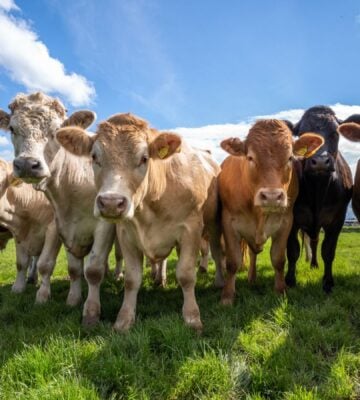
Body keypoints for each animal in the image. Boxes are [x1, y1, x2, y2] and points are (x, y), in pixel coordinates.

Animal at [0, 159, 60, 294]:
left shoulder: (53, 229)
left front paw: (43, 293)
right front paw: (18, 287)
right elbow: (21, 263)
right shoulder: (19, 232)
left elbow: (45, 264)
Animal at [55, 111, 225, 332]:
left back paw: (219, 281)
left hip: (214, 225)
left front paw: (192, 318)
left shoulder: (191, 230)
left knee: (217, 253)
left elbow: (186, 275)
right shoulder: (126, 235)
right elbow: (131, 279)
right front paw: (124, 320)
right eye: (94, 156)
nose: (111, 203)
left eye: (144, 158)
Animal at [218, 120, 324, 304]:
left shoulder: (286, 222)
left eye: (290, 158)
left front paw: (281, 290)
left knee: (253, 253)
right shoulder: (229, 223)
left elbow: (279, 259)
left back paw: (252, 277)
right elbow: (232, 261)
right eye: (250, 157)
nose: (272, 196)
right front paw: (227, 296)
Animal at [286, 105, 356, 294]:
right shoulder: (292, 218)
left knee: (315, 242)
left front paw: (328, 282)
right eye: (303, 135)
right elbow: (293, 250)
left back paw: (314, 264)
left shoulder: (337, 219)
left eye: (335, 133)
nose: (320, 162)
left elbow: (328, 251)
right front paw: (289, 281)